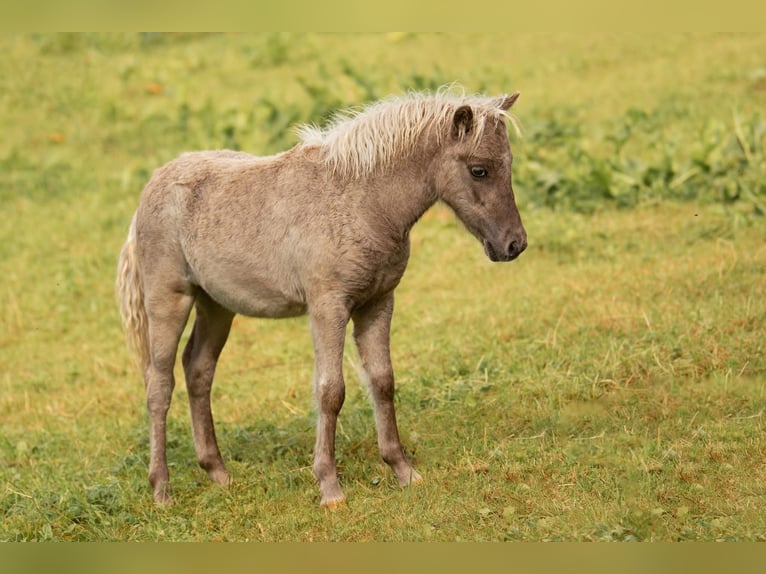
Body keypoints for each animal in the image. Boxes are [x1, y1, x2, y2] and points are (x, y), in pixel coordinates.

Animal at [116, 89, 527, 507]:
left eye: (508, 163)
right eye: (479, 170)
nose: (514, 245)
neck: (360, 203)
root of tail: (150, 189)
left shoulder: (378, 303)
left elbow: (382, 381)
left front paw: (403, 471)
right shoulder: (328, 307)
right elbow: (331, 390)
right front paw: (330, 487)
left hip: (217, 306)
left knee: (198, 369)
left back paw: (218, 473)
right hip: (169, 299)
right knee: (159, 384)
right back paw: (162, 490)